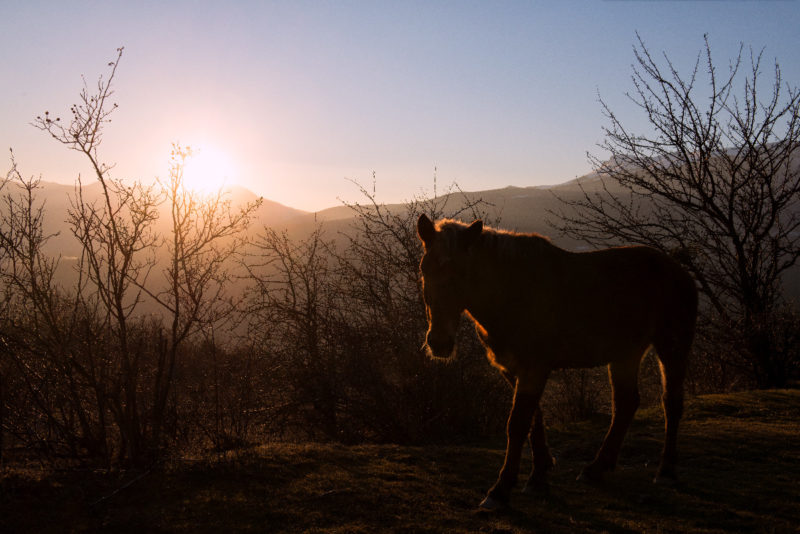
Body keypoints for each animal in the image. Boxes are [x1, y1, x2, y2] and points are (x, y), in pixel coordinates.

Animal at [416, 216, 696, 512]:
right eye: (424, 269)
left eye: (461, 272)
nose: (439, 343)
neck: (513, 293)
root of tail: (679, 270)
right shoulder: (513, 370)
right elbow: (534, 420)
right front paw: (538, 478)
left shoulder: (534, 369)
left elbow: (518, 424)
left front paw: (500, 490)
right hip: (625, 355)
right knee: (626, 404)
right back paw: (596, 468)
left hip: (671, 348)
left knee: (671, 403)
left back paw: (665, 471)